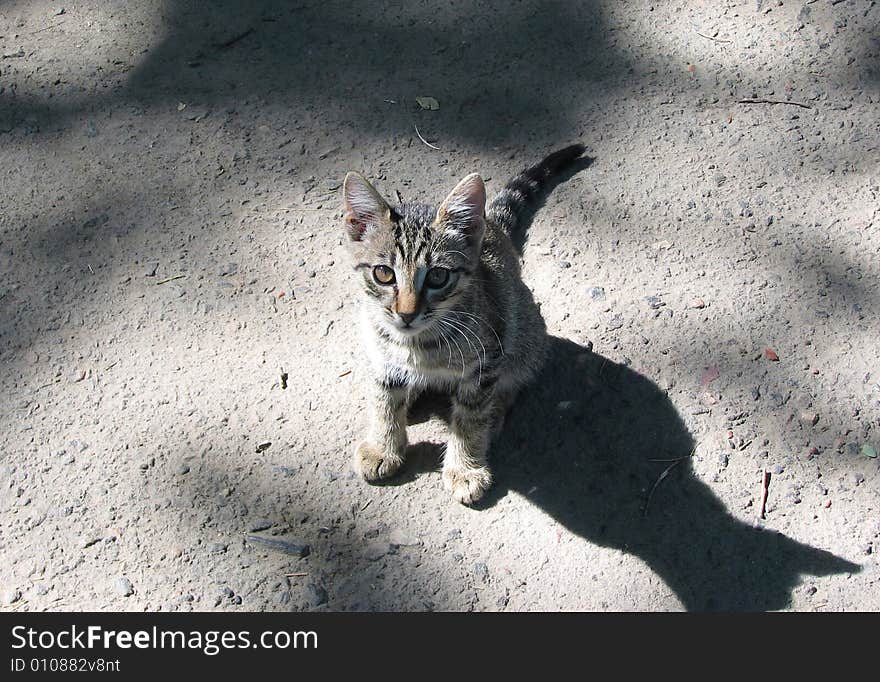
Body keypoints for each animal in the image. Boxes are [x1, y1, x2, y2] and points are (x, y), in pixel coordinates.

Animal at [342, 145, 584, 504]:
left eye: (438, 277)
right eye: (383, 273)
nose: (406, 313)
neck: (419, 345)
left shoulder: (486, 361)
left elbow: (470, 418)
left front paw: (466, 469)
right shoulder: (381, 354)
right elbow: (384, 400)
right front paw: (383, 447)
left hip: (524, 331)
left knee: (514, 377)